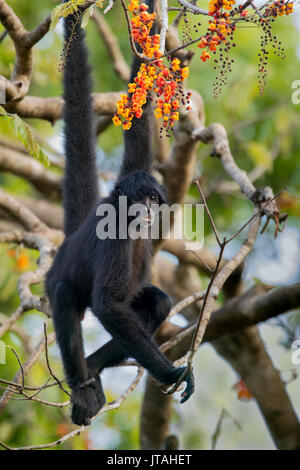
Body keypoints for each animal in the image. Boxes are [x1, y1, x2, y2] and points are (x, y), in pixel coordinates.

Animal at [45, 0, 195, 426]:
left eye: (153, 200)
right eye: (138, 200)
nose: (146, 212)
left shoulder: (137, 166)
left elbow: (138, 115)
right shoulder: (115, 229)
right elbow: (108, 305)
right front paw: (171, 373)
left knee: (157, 303)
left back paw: (94, 367)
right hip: (56, 280)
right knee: (64, 294)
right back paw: (82, 387)